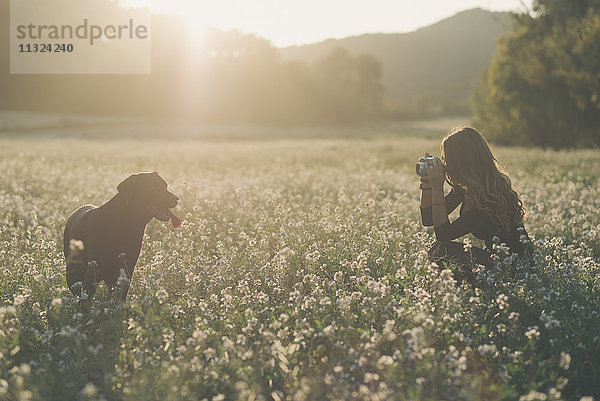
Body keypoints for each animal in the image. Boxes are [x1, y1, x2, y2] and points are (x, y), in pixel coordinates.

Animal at [64, 170, 180, 302]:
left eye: (165, 185)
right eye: (152, 187)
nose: (176, 199)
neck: (125, 223)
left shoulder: (126, 270)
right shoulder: (93, 271)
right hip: (72, 272)